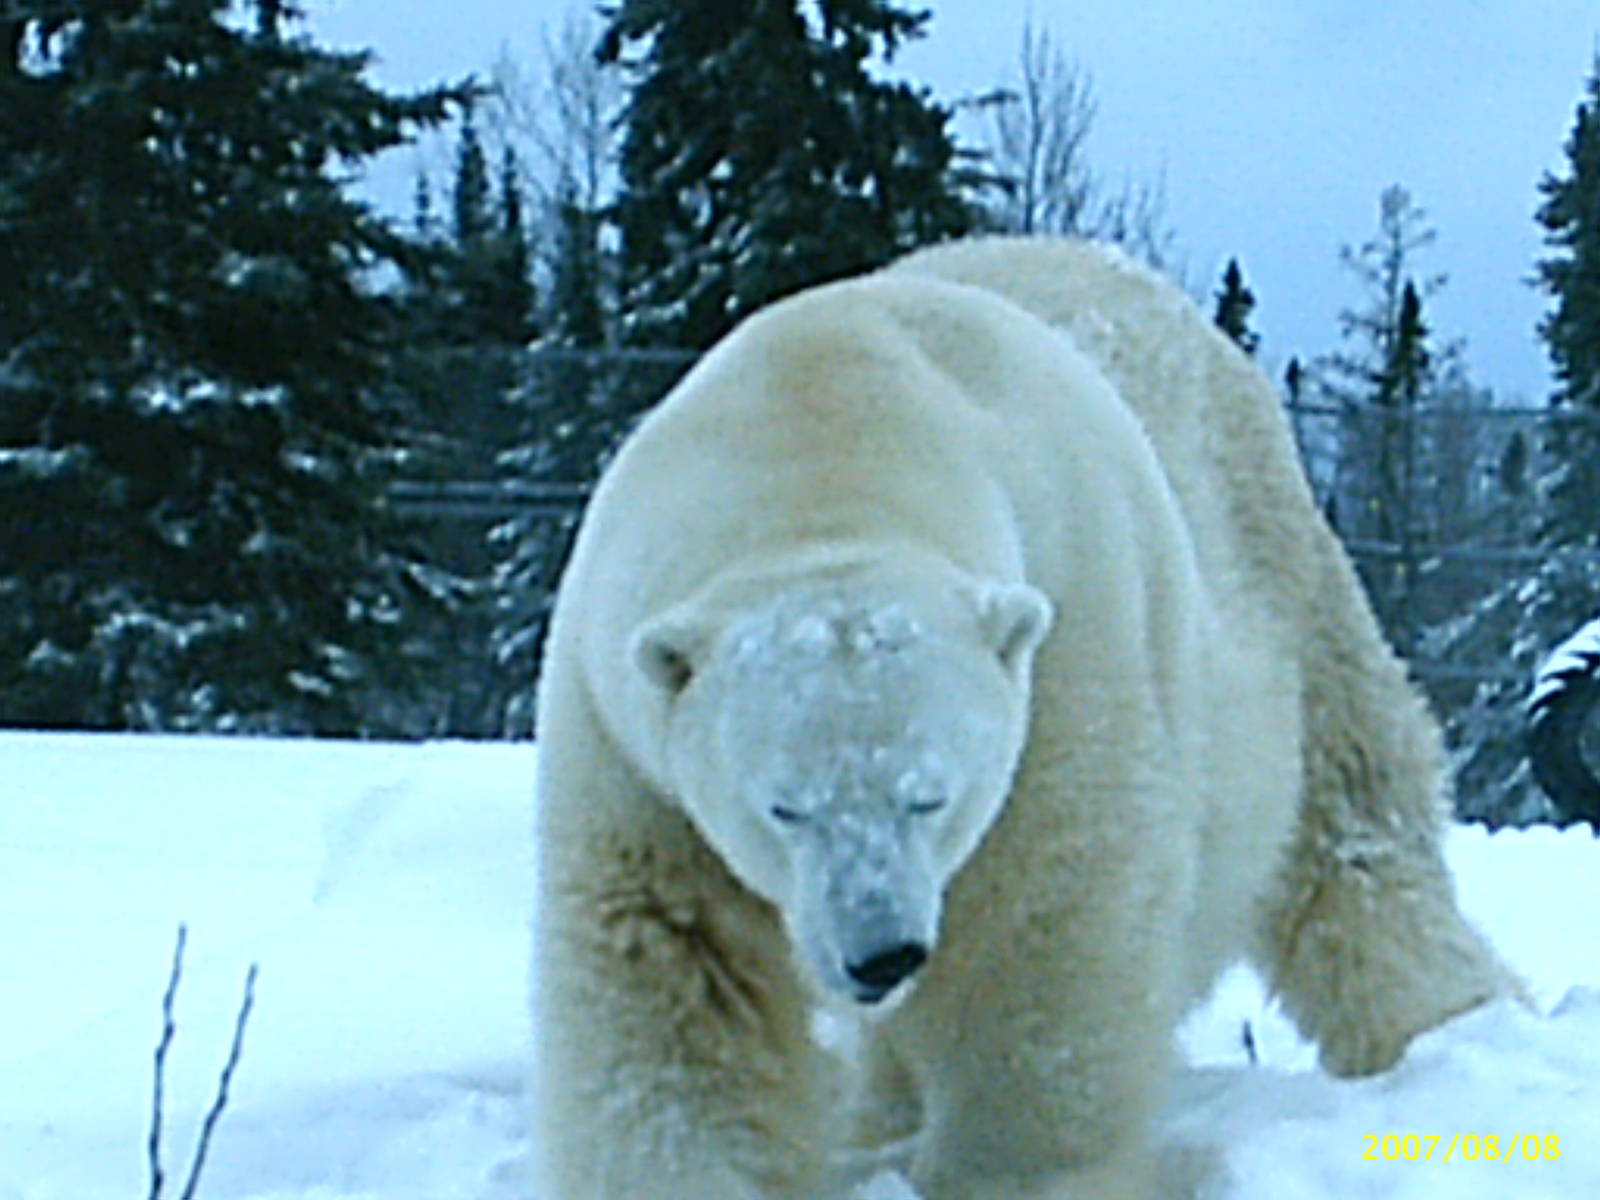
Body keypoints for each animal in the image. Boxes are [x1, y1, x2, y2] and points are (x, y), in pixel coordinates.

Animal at [529, 235, 1516, 1200]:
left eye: (931, 795)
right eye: (784, 807)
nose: (882, 954)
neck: (823, 430)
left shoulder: (1068, 636)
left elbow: (1043, 929)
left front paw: (1007, 1172)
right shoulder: (627, 740)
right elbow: (674, 970)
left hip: (1287, 589)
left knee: (1354, 838)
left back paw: (1449, 1026)